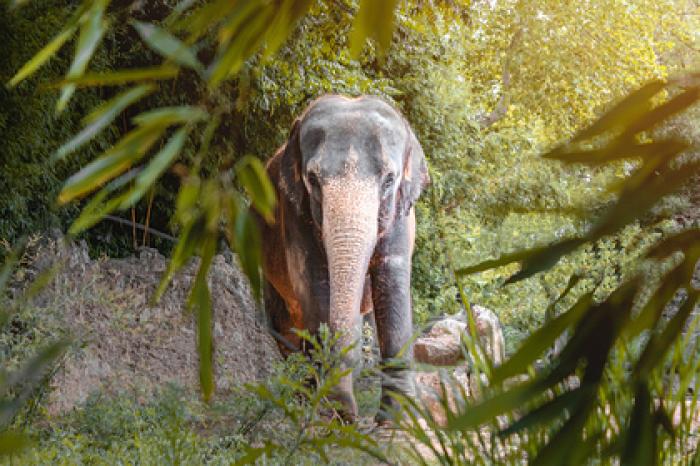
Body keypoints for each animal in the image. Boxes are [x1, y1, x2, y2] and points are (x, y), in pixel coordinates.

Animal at [260, 94, 430, 422]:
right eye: (312, 179)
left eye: (389, 180)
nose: (347, 413)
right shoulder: (294, 211)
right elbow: (313, 281)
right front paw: (332, 416)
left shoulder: (402, 215)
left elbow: (392, 279)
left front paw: (398, 418)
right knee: (285, 327)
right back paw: (299, 405)